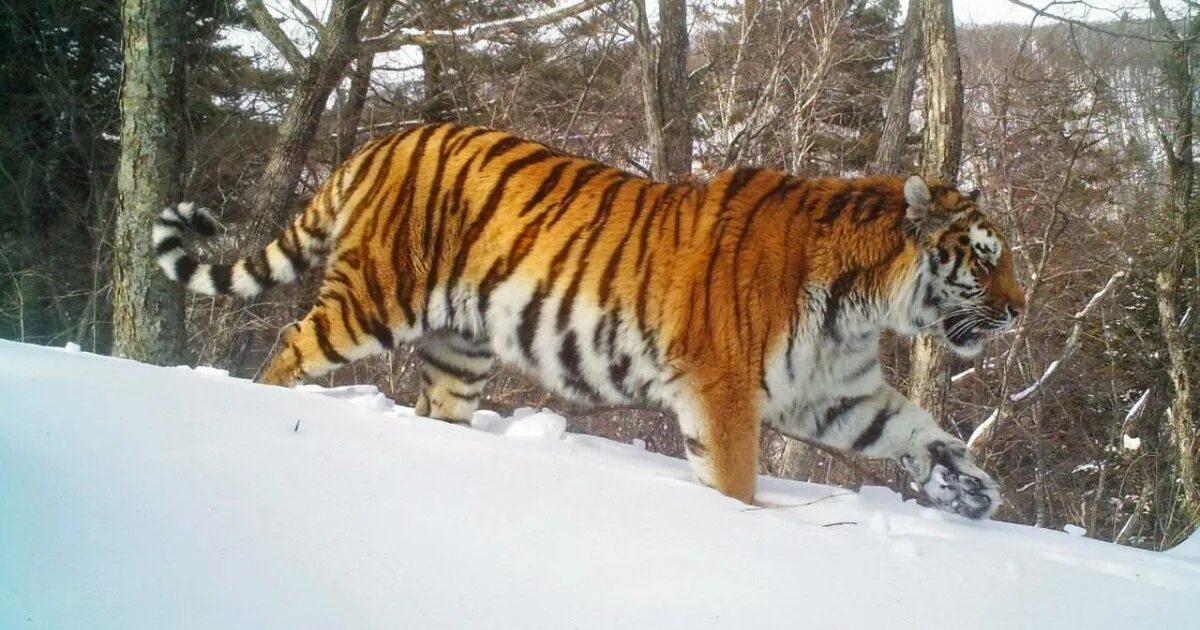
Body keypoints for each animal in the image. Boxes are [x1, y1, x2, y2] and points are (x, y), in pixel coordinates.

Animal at [154, 120, 1027, 518]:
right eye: (986, 258)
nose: (1020, 311)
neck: (862, 305)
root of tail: (383, 139)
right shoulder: (724, 389)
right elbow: (735, 484)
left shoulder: (835, 392)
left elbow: (916, 427)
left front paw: (972, 485)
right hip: (374, 297)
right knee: (291, 343)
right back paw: (262, 409)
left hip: (459, 351)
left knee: (436, 409)